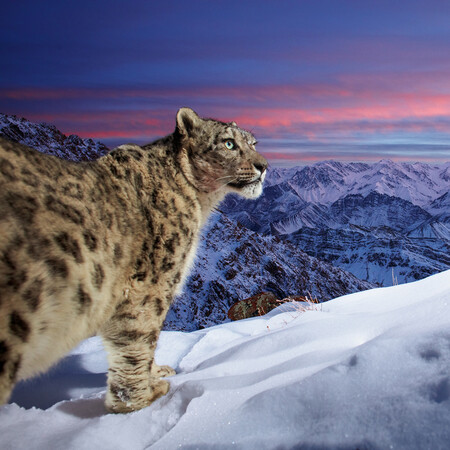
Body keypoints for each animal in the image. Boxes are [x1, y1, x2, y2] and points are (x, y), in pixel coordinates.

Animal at [0, 108, 268, 412]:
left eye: (253, 143)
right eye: (229, 143)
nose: (263, 166)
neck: (201, 204)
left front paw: (156, 374)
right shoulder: (151, 284)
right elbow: (139, 338)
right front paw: (142, 400)